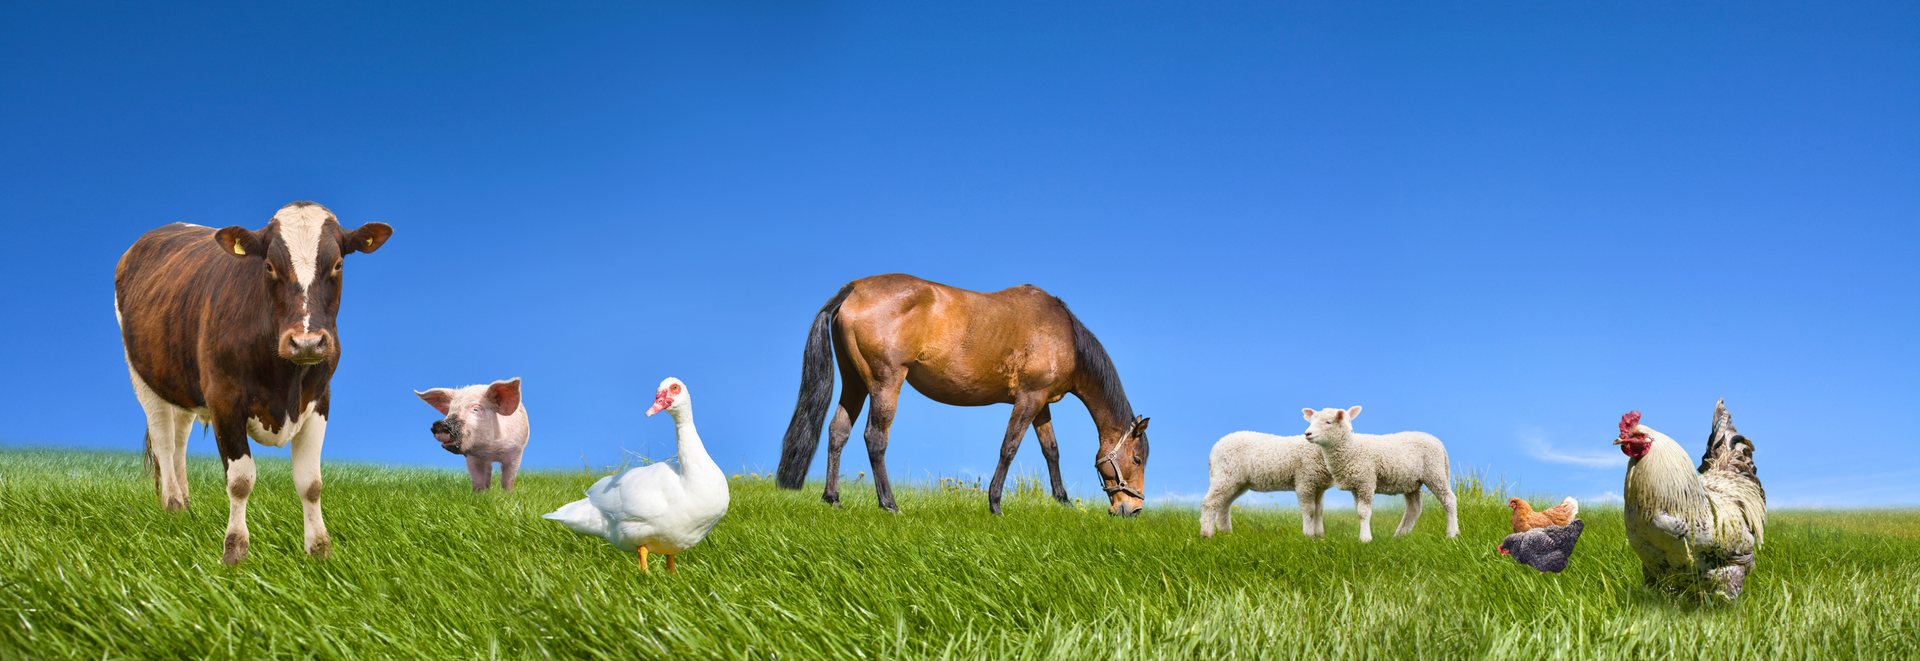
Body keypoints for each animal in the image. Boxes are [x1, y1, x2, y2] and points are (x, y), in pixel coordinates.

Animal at [114, 201, 392, 564]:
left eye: (338, 264)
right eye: (270, 266)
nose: (306, 342)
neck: (285, 379)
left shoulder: (320, 399)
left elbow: (311, 482)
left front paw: (319, 549)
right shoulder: (223, 399)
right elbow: (240, 480)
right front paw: (235, 550)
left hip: (182, 383)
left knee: (179, 441)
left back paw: (186, 505)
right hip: (143, 377)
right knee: (162, 440)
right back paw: (173, 505)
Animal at [774, 274, 1150, 516]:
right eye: (1137, 459)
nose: (1132, 509)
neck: (1063, 332)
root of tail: (853, 289)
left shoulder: (1040, 403)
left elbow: (1051, 450)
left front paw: (1064, 501)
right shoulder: (1028, 399)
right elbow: (1009, 448)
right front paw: (995, 504)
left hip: (855, 383)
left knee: (838, 431)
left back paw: (832, 498)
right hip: (885, 383)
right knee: (874, 438)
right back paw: (889, 504)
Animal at [1200, 431, 1334, 538]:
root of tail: (1215, 447)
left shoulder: (1318, 486)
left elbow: (1319, 510)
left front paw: (1320, 535)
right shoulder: (1305, 482)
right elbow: (1310, 510)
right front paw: (1309, 535)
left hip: (1236, 482)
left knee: (1224, 504)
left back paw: (1226, 532)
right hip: (1225, 475)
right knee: (1210, 502)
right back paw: (1207, 534)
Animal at [1302, 406, 1458, 541]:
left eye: (1328, 422)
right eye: (1311, 421)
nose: (1307, 434)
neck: (1351, 448)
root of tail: (1437, 441)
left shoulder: (1366, 481)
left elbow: (1363, 512)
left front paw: (1365, 539)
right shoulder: (1356, 486)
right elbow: (1359, 512)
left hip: (1434, 472)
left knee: (1449, 500)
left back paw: (1452, 534)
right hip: (1412, 481)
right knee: (1414, 508)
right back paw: (1399, 535)